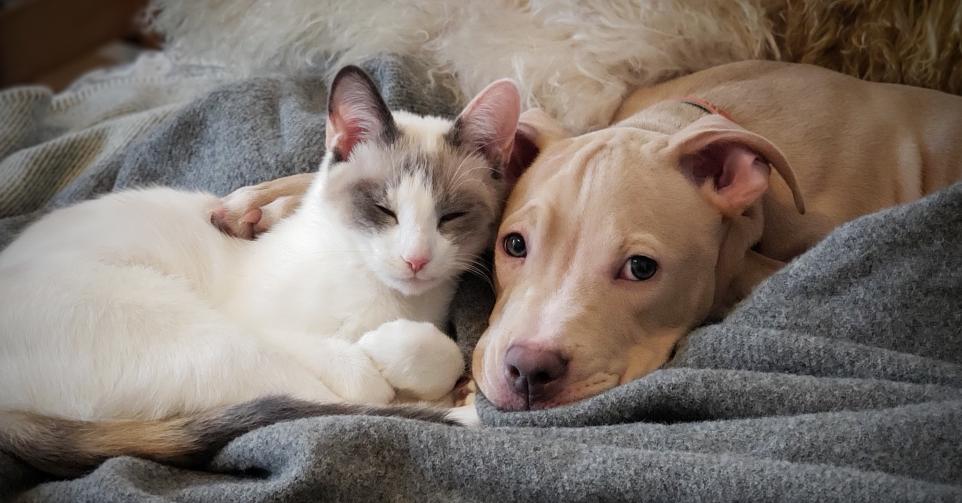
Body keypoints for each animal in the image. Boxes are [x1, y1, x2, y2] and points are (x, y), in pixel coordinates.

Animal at [0, 66, 520, 476]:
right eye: (382, 209)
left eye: (451, 216)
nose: (415, 259)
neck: (392, 298)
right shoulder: (258, 324)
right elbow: (362, 374)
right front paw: (378, 353)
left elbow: (440, 352)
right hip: (205, 338)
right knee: (320, 402)